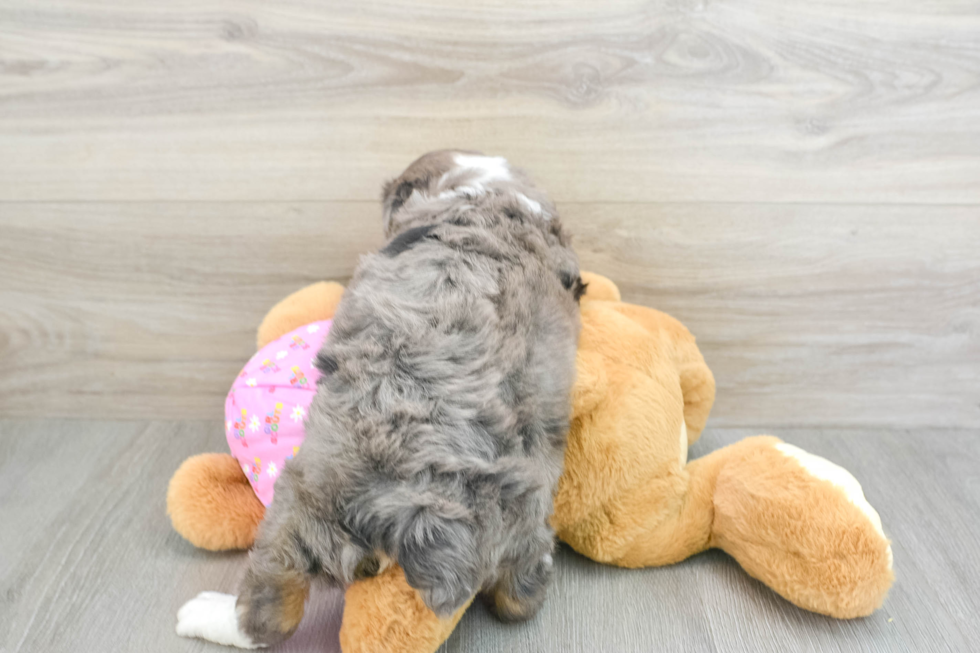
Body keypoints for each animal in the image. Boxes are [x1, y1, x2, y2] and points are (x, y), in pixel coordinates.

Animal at [174, 152, 580, 648]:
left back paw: (206, 613)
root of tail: (432, 517)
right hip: (527, 533)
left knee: (269, 610)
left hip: (302, 504)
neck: (486, 193)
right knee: (521, 598)